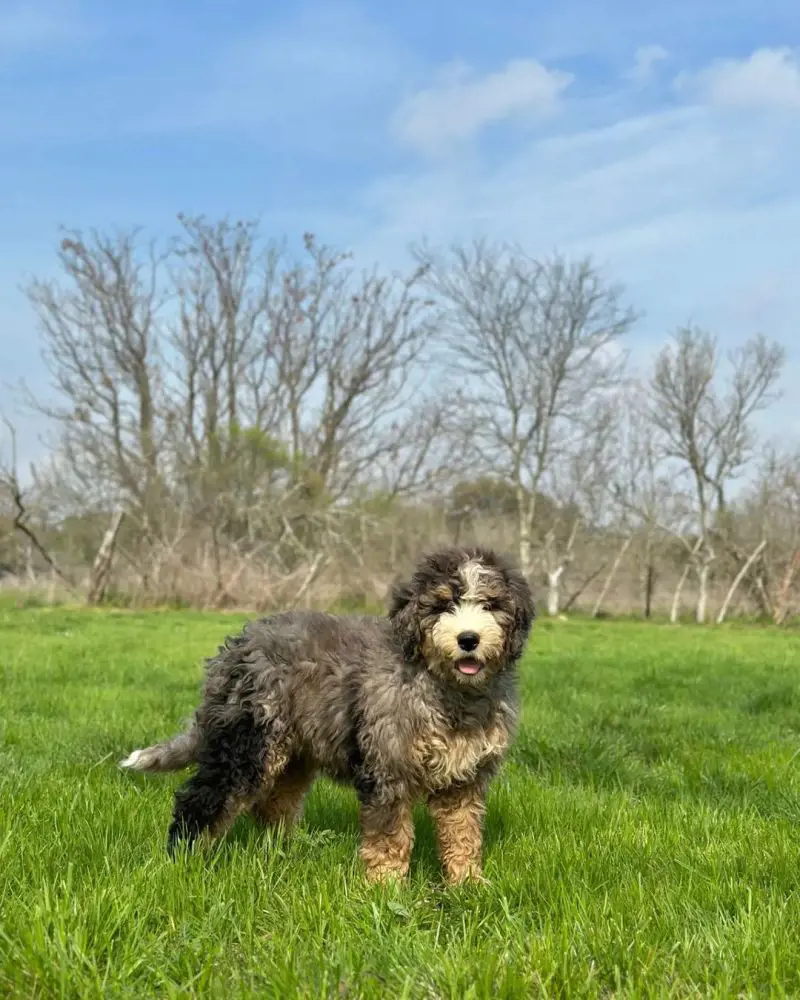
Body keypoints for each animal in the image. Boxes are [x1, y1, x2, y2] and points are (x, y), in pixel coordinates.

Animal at [122, 548, 536, 884]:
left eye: (490, 605)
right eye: (443, 605)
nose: (468, 639)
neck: (446, 689)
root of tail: (233, 649)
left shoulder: (464, 779)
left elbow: (463, 833)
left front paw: (467, 885)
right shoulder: (387, 769)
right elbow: (389, 837)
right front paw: (385, 888)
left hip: (292, 754)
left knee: (274, 805)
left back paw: (283, 853)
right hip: (248, 743)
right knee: (202, 798)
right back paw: (184, 859)